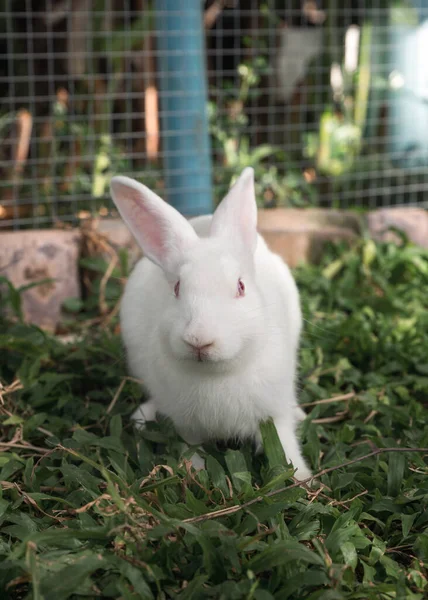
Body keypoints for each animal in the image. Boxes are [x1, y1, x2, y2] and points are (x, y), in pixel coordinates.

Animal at [110, 166, 310, 480]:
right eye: (177, 288)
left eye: (240, 286)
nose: (199, 340)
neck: (216, 375)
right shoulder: (187, 424)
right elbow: (190, 445)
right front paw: (195, 471)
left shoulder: (273, 410)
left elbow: (285, 442)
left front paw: (301, 478)